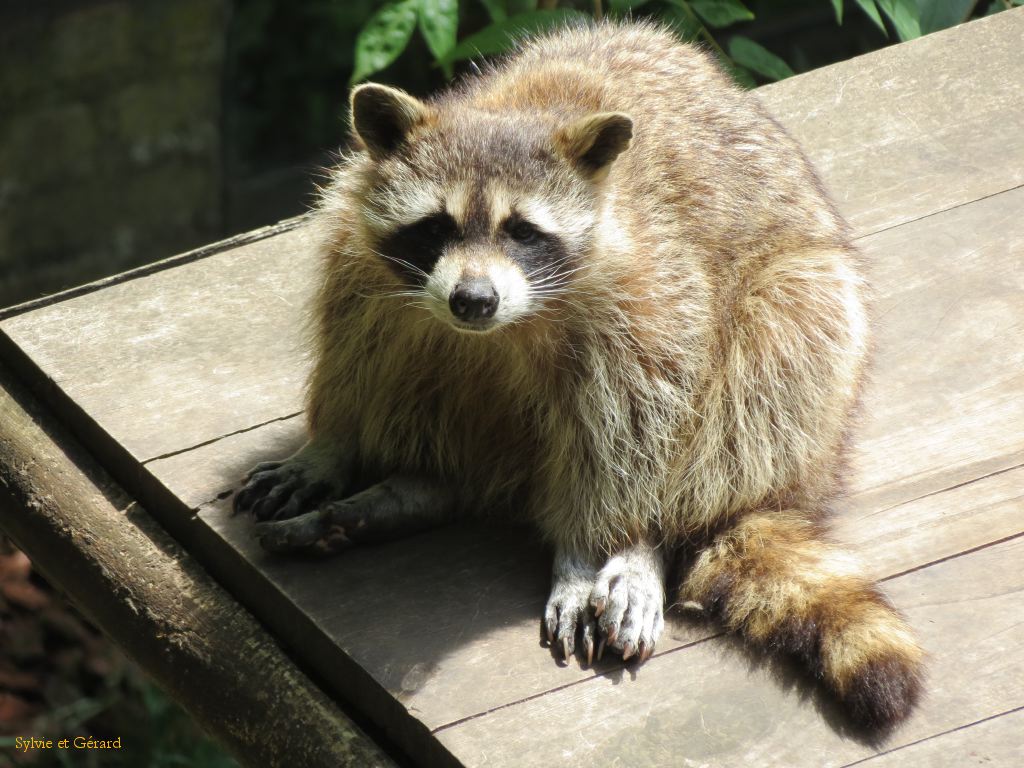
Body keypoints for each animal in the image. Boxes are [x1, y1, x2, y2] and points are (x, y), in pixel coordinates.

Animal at [235, 20, 925, 729]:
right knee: (422, 371)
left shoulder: (652, 294)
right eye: (437, 225)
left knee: (763, 375)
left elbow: (632, 427)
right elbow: (355, 350)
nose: (472, 301)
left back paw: (649, 541)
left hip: (804, 327)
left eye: (522, 231)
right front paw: (330, 445)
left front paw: (592, 551)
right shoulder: (359, 256)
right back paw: (420, 490)